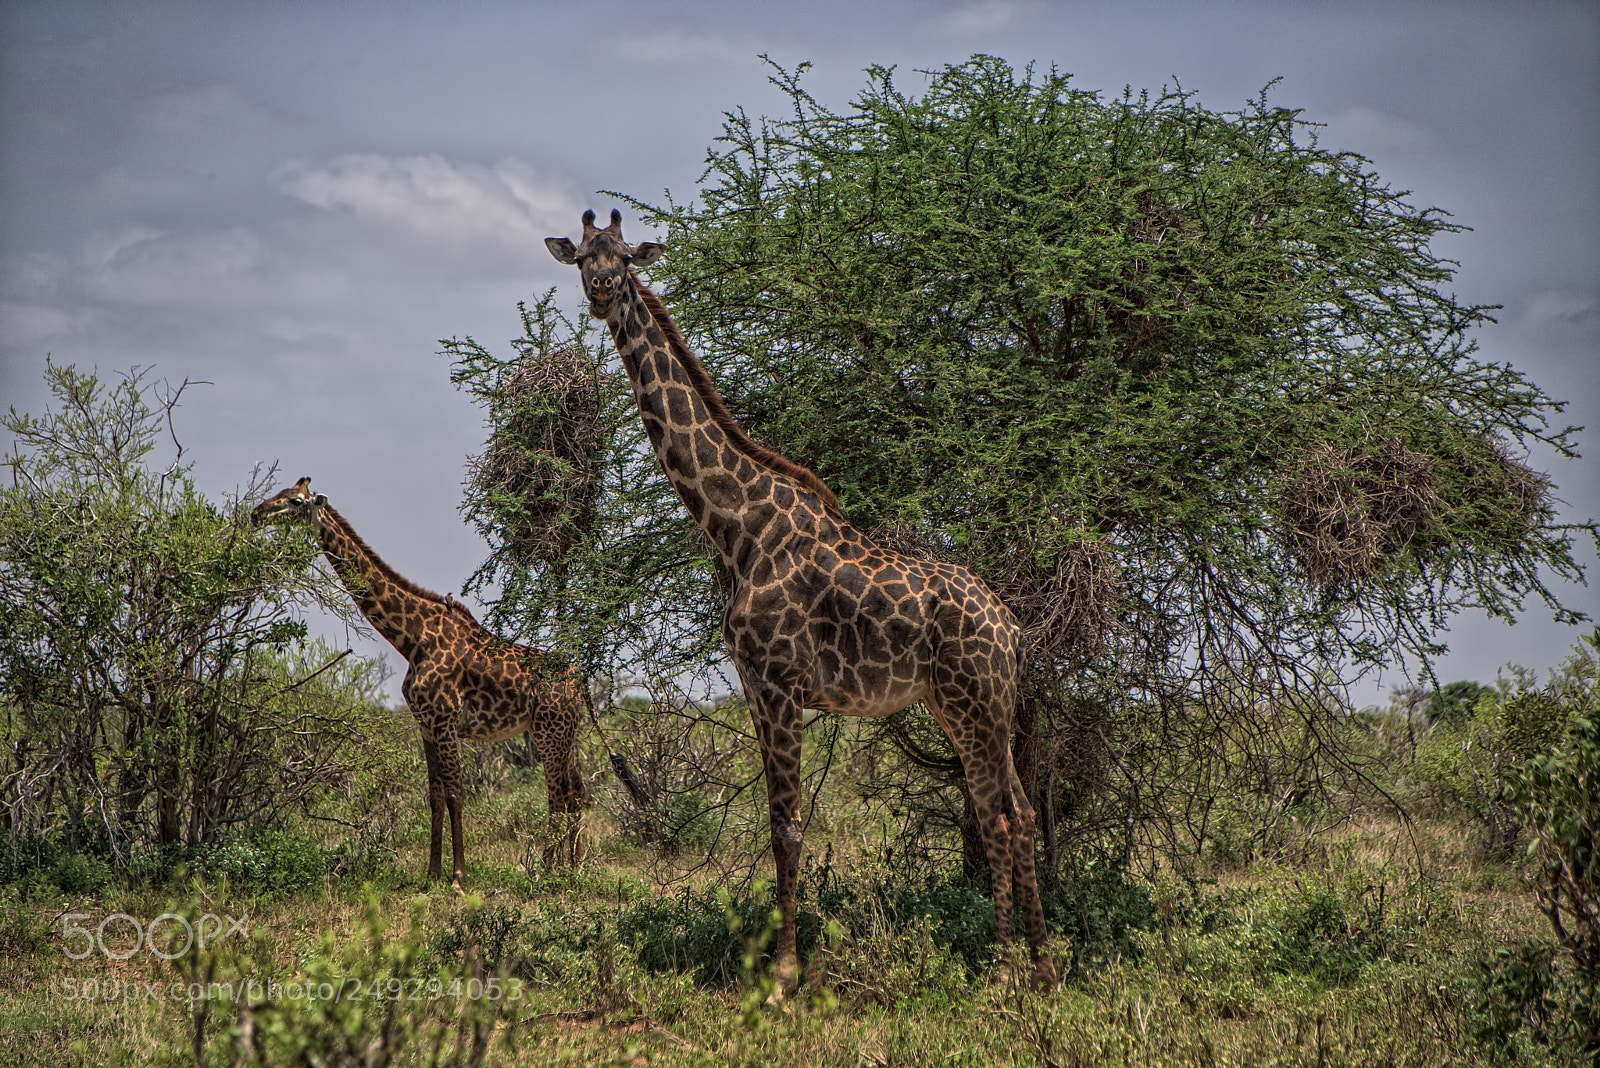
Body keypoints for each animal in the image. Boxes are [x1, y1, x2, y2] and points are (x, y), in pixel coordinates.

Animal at [252, 477, 585, 885]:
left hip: (548, 732)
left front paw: (458, 877)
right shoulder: (424, 723)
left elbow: (456, 793)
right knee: (575, 791)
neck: (412, 640)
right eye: (280, 494)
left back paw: (549, 871)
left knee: (558, 794)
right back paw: (574, 868)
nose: (256, 514)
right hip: (565, 733)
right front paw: (432, 873)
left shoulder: (445, 719)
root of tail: (579, 681)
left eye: (296, 502)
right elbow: (435, 795)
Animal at [547, 210, 1057, 996]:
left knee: (1000, 817)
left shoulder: (783, 683)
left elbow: (788, 829)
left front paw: (785, 973)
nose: (602, 293)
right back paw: (1043, 968)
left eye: (626, 259)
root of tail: (1011, 628)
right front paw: (779, 962)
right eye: (582, 261)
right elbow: (774, 824)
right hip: (967, 706)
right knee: (1017, 812)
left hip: (976, 703)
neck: (737, 527)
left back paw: (1005, 970)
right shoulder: (756, 688)